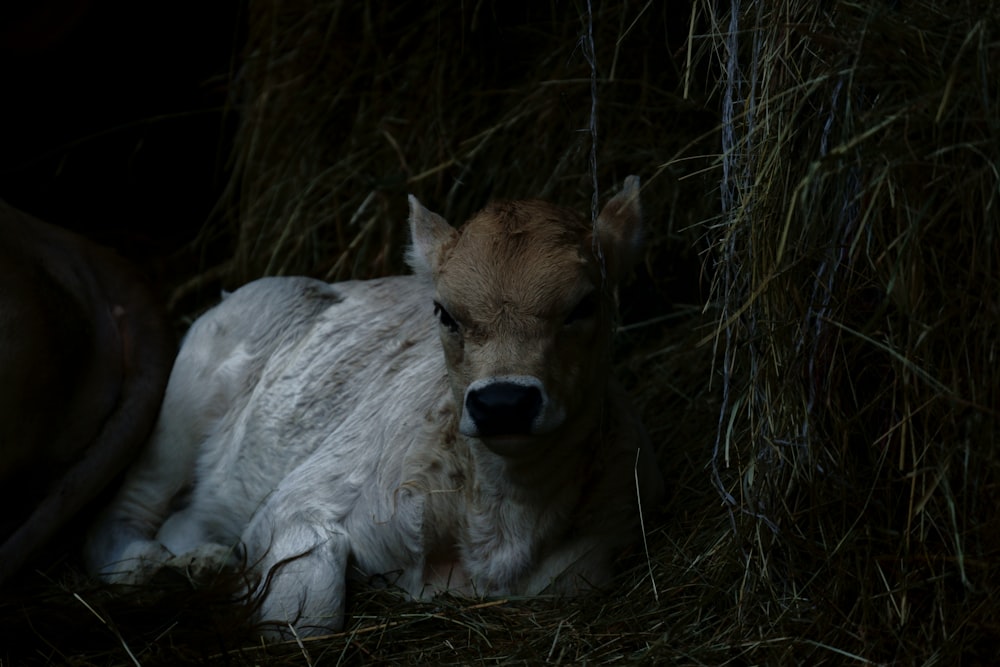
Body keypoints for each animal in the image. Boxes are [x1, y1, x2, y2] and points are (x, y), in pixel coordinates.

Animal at [86, 177, 664, 636]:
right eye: (444, 312)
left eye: (584, 304)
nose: (503, 401)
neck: (499, 530)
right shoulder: (299, 501)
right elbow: (306, 620)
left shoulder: (596, 554)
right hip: (184, 402)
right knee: (126, 513)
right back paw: (158, 570)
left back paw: (201, 562)